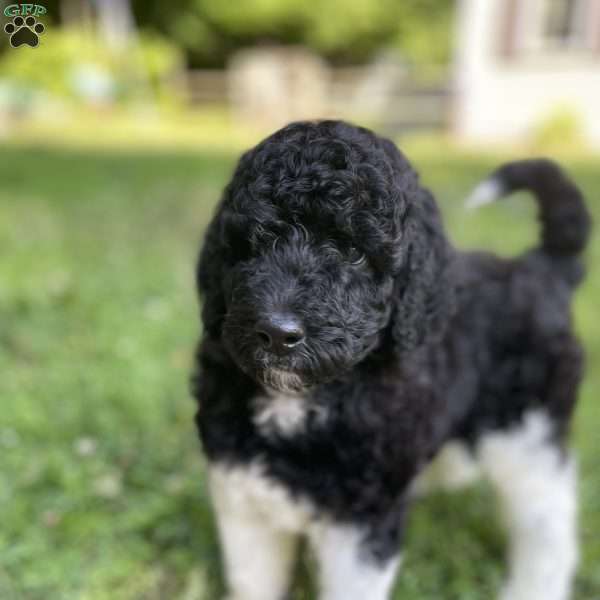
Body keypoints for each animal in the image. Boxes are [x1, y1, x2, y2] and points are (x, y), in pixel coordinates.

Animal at [191, 119, 592, 596]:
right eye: (252, 245)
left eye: (355, 253)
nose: (276, 333)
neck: (305, 398)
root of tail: (542, 268)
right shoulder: (244, 494)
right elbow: (253, 579)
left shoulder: (362, 522)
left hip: (527, 431)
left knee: (547, 519)